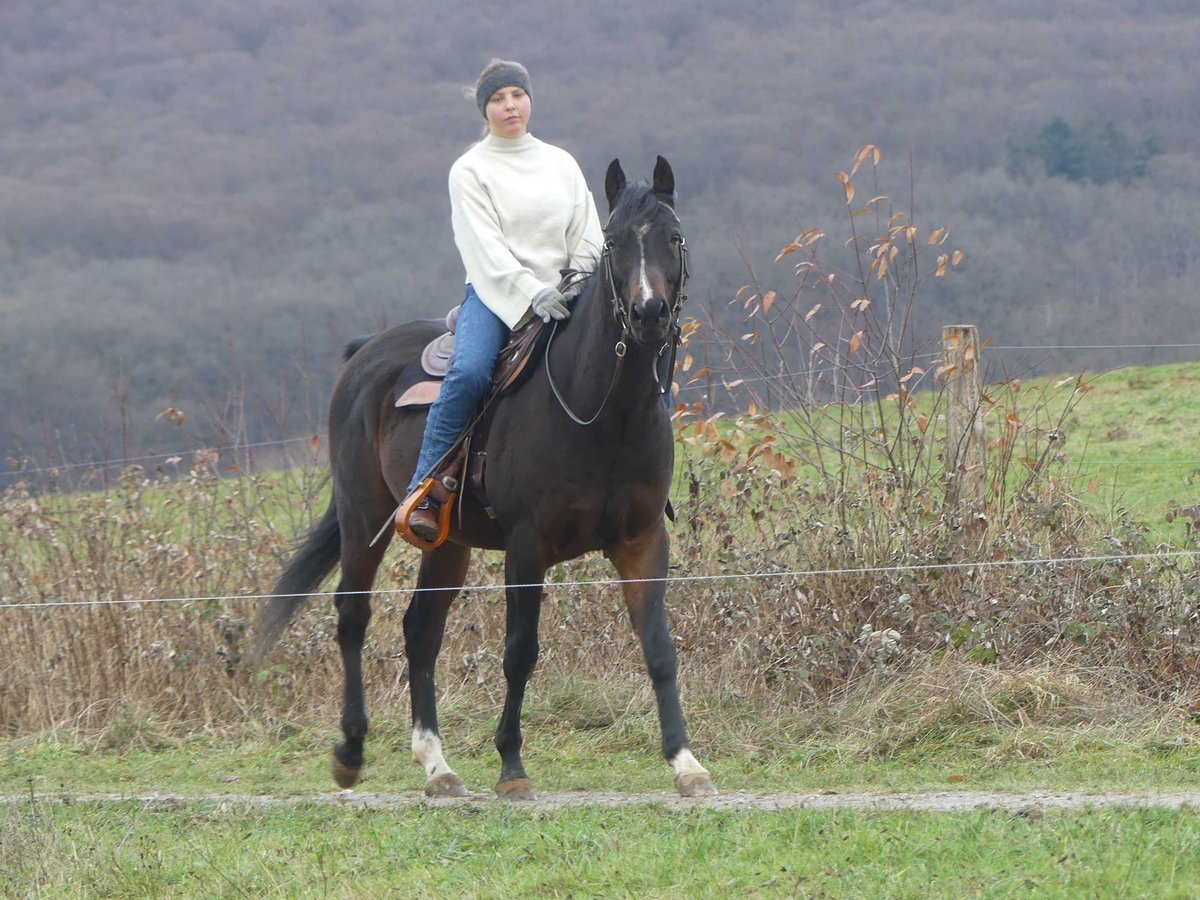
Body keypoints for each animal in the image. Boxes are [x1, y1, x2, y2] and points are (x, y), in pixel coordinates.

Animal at [255, 157, 716, 800]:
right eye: (614, 243)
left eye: (674, 238)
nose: (648, 315)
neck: (603, 412)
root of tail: (364, 354)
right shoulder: (527, 546)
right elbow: (520, 652)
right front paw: (512, 767)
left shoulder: (642, 540)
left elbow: (659, 649)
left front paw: (686, 763)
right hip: (363, 515)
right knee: (353, 615)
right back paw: (350, 751)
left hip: (446, 542)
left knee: (420, 630)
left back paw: (437, 765)